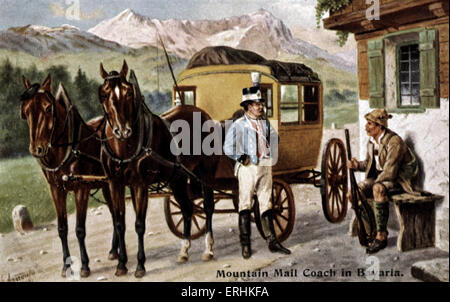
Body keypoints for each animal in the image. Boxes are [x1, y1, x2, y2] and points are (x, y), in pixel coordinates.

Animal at [19, 75, 118, 278]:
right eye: (25, 112)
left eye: (48, 108)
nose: (37, 149)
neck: (67, 148)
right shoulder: (56, 190)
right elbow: (62, 228)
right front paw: (66, 266)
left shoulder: (81, 189)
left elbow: (79, 229)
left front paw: (85, 266)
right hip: (106, 185)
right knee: (114, 213)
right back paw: (114, 251)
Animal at [98, 60, 220, 278]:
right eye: (103, 94)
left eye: (129, 92)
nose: (123, 131)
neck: (124, 148)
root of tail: (203, 114)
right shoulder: (115, 184)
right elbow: (120, 223)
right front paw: (121, 265)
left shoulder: (140, 185)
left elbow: (139, 225)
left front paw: (140, 266)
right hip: (178, 179)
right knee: (187, 209)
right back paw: (184, 251)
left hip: (205, 173)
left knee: (207, 206)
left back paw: (208, 249)